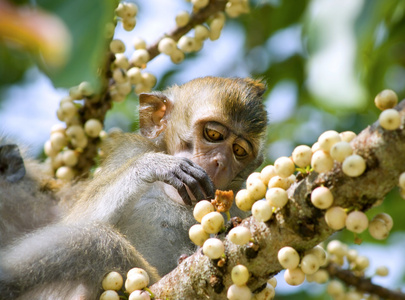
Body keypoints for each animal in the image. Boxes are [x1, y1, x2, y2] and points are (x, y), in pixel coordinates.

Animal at [0, 76, 268, 298]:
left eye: (239, 151)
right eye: (213, 134)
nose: (220, 162)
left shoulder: (239, 204)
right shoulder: (130, 151)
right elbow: (76, 220)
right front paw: (156, 165)